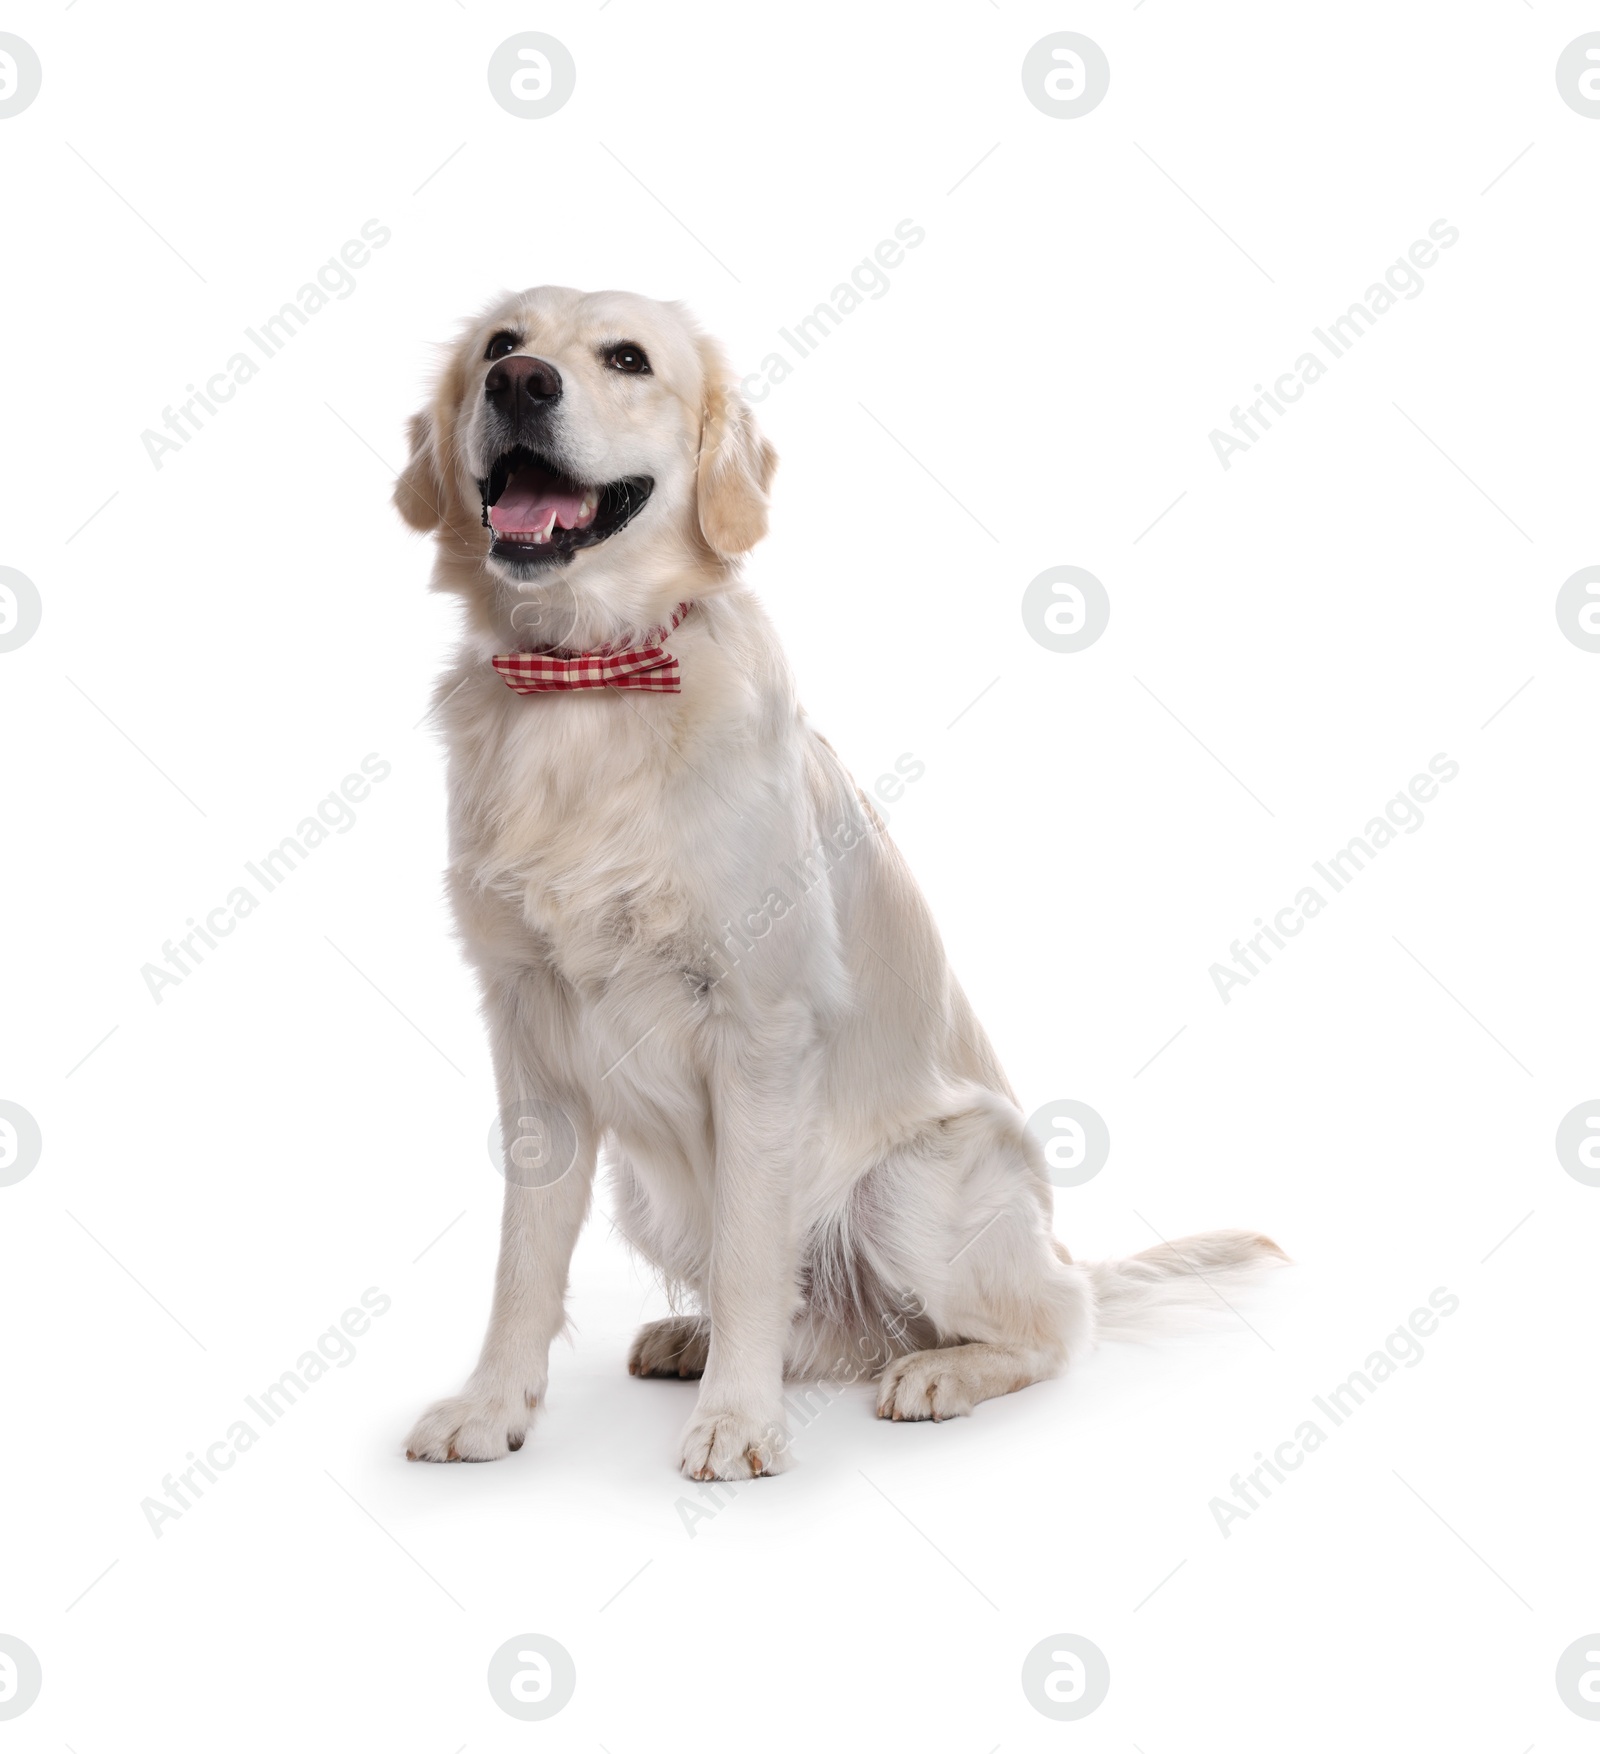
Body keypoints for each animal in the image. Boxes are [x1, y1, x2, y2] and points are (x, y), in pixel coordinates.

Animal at [392, 287, 1284, 1480]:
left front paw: (736, 1421)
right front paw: (493, 1403)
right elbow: (523, 1260)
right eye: (500, 343)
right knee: (836, 1326)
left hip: (919, 1180)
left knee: (1051, 1323)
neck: (589, 688)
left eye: (627, 359)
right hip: (649, 1185)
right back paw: (702, 1339)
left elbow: (750, 1252)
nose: (521, 383)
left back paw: (939, 1370)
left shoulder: (760, 1027)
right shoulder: (528, 1027)